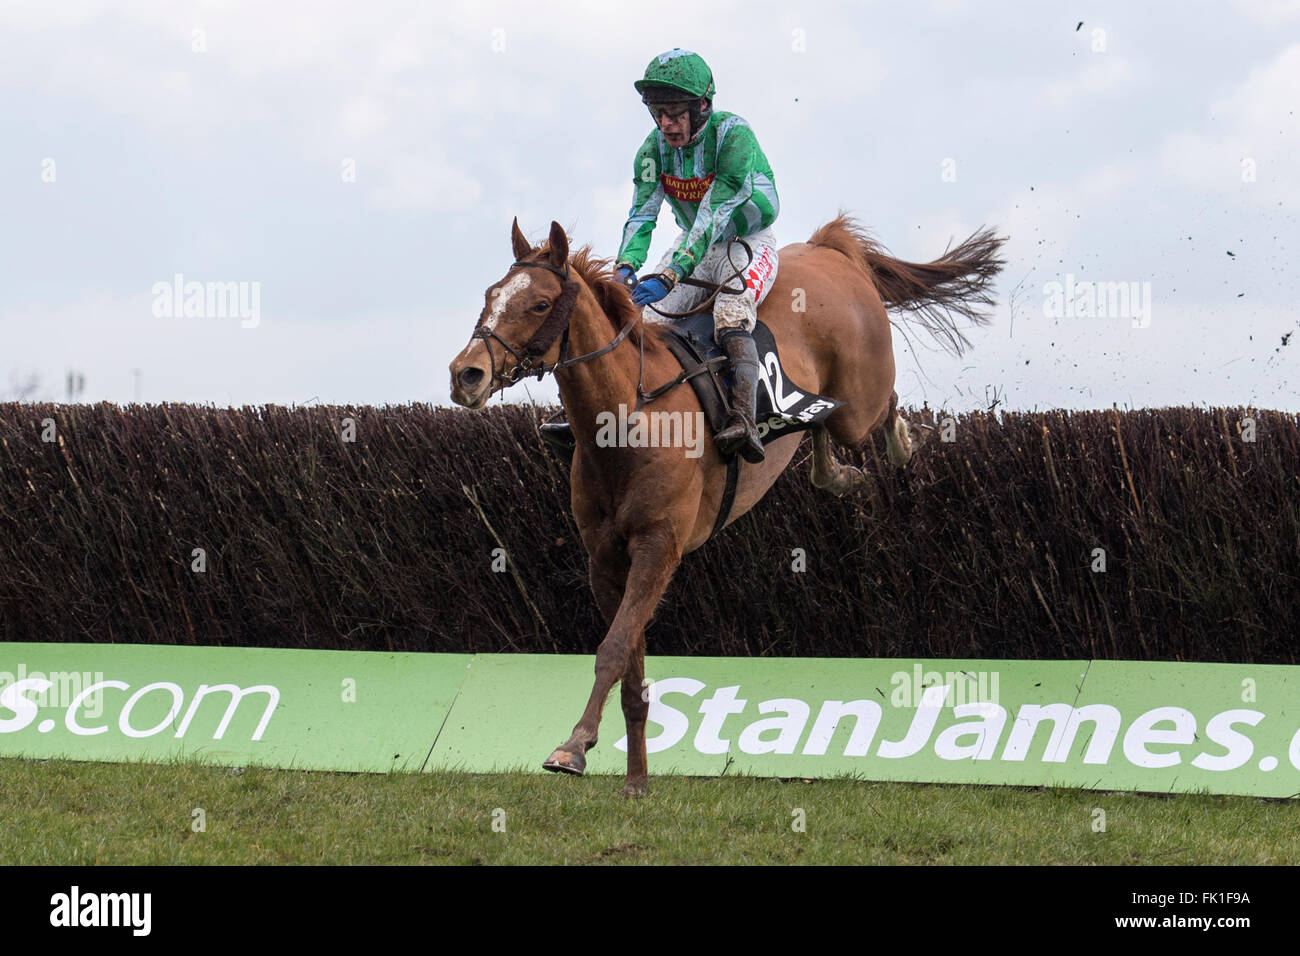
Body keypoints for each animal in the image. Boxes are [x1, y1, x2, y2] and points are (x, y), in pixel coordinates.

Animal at [447, 213, 1003, 796]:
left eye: (538, 303)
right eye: (490, 295)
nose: (466, 375)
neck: (627, 420)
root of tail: (829, 249)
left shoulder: (659, 548)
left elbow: (613, 650)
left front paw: (573, 747)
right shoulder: (605, 557)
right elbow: (632, 668)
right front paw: (637, 782)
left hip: (858, 395)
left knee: (874, 406)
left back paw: (901, 442)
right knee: (820, 427)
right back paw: (837, 474)